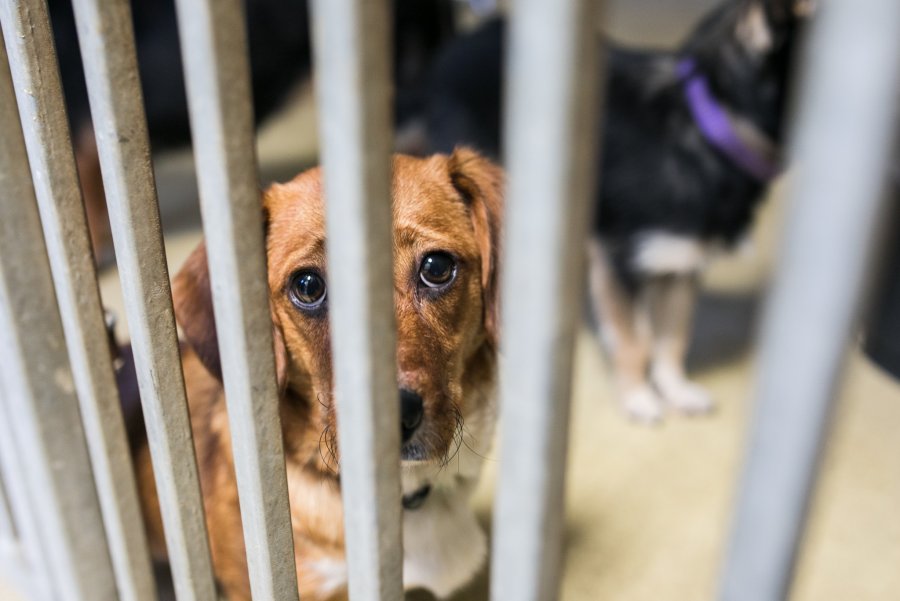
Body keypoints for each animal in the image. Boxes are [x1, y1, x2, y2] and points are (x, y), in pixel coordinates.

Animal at [404, 0, 812, 422]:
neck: (707, 126)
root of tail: (451, 51)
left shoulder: (681, 265)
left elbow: (673, 336)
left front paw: (675, 389)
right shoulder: (619, 260)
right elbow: (635, 341)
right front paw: (638, 397)